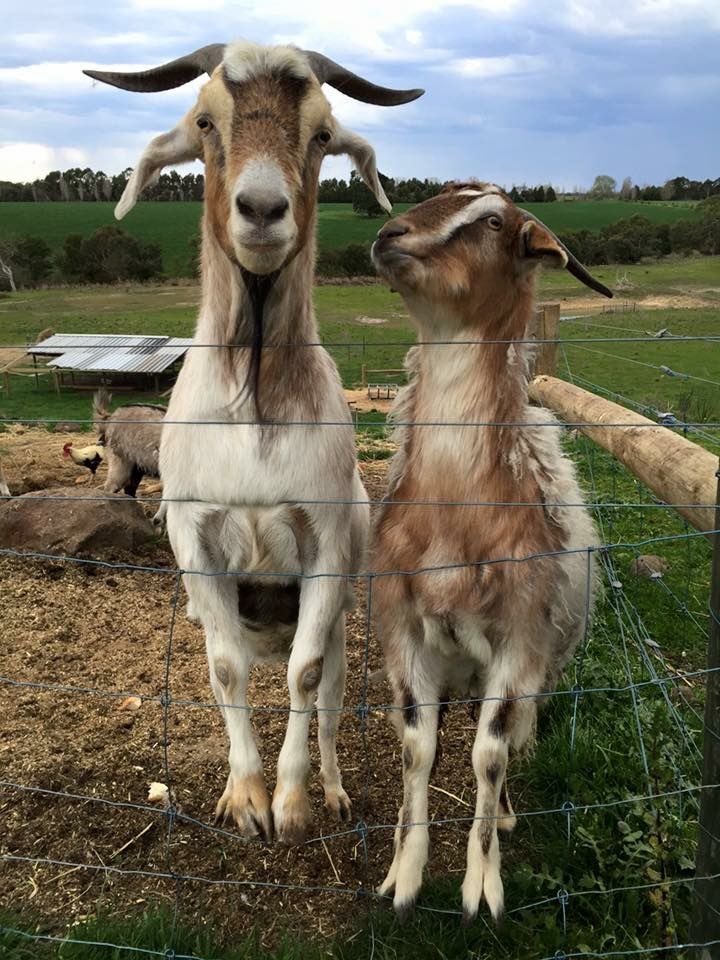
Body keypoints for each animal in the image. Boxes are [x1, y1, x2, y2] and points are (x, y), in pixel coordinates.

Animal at [85, 41, 423, 844]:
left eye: (323, 133)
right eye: (206, 121)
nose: (264, 210)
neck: (255, 419)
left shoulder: (325, 542)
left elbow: (304, 677)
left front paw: (292, 804)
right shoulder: (196, 536)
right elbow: (225, 671)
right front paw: (245, 799)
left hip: (340, 627)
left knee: (329, 699)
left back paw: (333, 791)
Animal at [370, 182, 611, 921]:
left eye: (495, 222)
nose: (388, 235)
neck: (458, 511)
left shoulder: (520, 643)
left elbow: (489, 753)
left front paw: (483, 886)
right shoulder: (406, 634)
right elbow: (418, 750)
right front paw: (404, 874)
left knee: (503, 737)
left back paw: (501, 814)